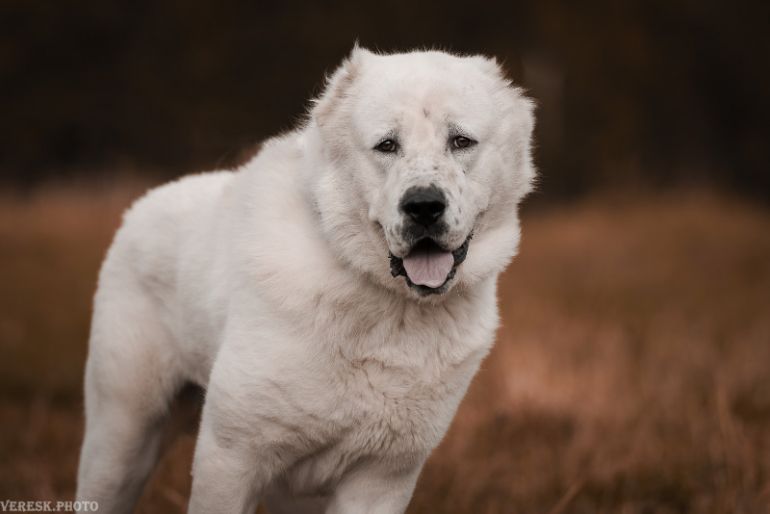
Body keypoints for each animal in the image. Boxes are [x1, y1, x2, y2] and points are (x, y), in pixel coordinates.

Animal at [76, 48, 536, 512]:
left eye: (461, 141)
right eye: (387, 145)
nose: (423, 206)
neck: (388, 312)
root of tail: (140, 204)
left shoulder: (382, 478)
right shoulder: (230, 458)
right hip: (121, 439)